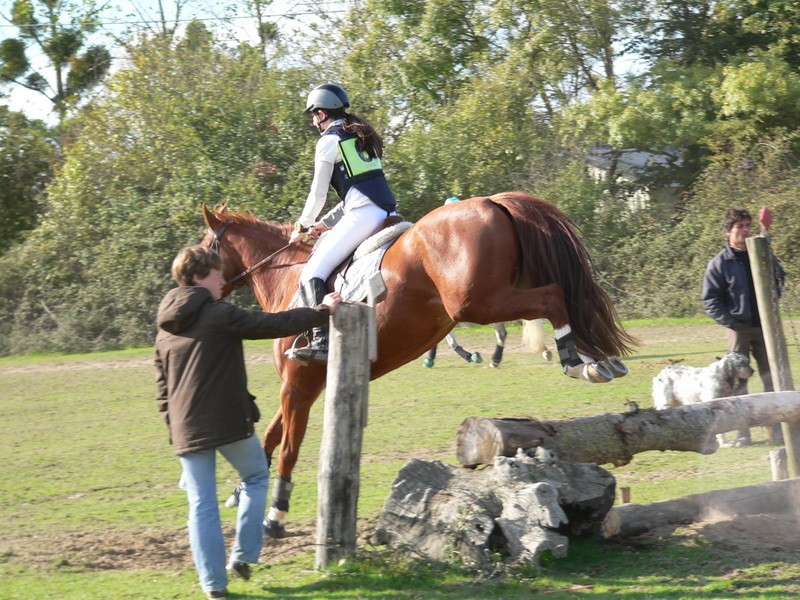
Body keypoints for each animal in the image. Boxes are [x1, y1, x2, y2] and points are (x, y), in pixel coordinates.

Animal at [202, 190, 636, 536]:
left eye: (206, 248)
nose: (193, 287)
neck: (287, 280)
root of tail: (492, 201)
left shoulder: (299, 384)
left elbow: (288, 446)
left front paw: (274, 515)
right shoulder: (303, 387)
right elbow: (271, 437)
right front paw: (241, 492)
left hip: (479, 303)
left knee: (554, 298)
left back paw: (576, 363)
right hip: (504, 290)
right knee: (567, 301)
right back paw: (596, 362)